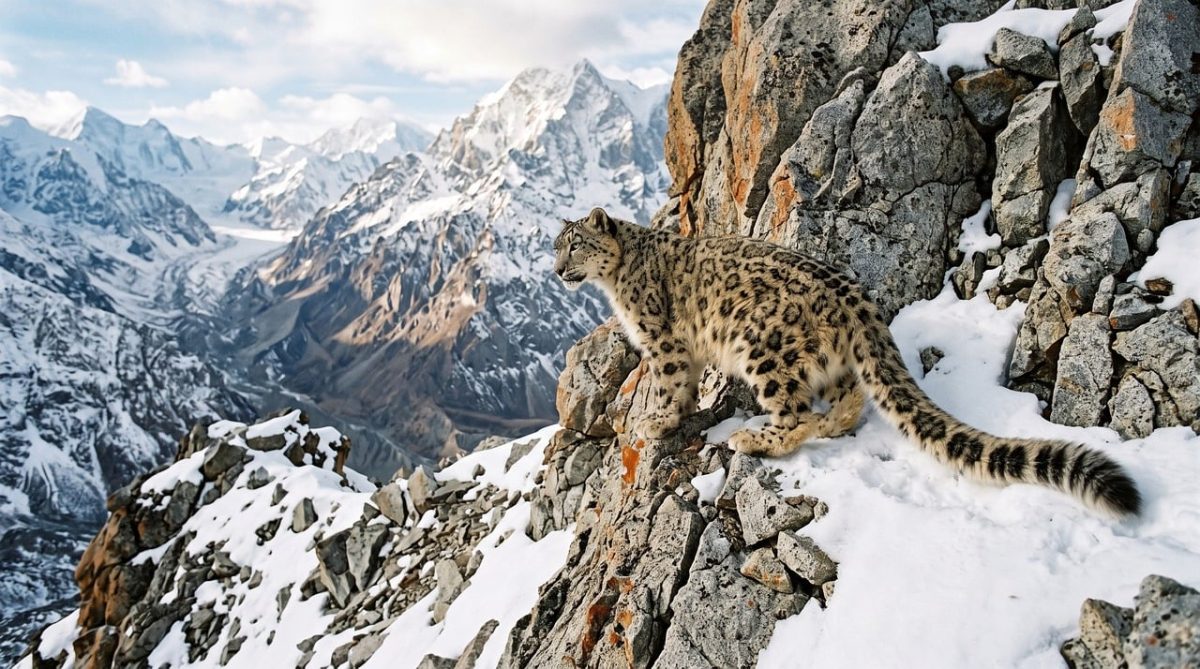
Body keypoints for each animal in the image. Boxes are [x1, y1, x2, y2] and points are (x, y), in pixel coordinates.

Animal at [552, 207, 1141, 517]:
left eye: (575, 244)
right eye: (557, 246)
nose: (557, 270)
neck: (617, 284)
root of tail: (855, 297)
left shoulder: (664, 343)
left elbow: (672, 386)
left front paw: (655, 421)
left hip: (762, 348)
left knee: (795, 414)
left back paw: (752, 437)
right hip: (827, 361)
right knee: (848, 397)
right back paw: (830, 424)